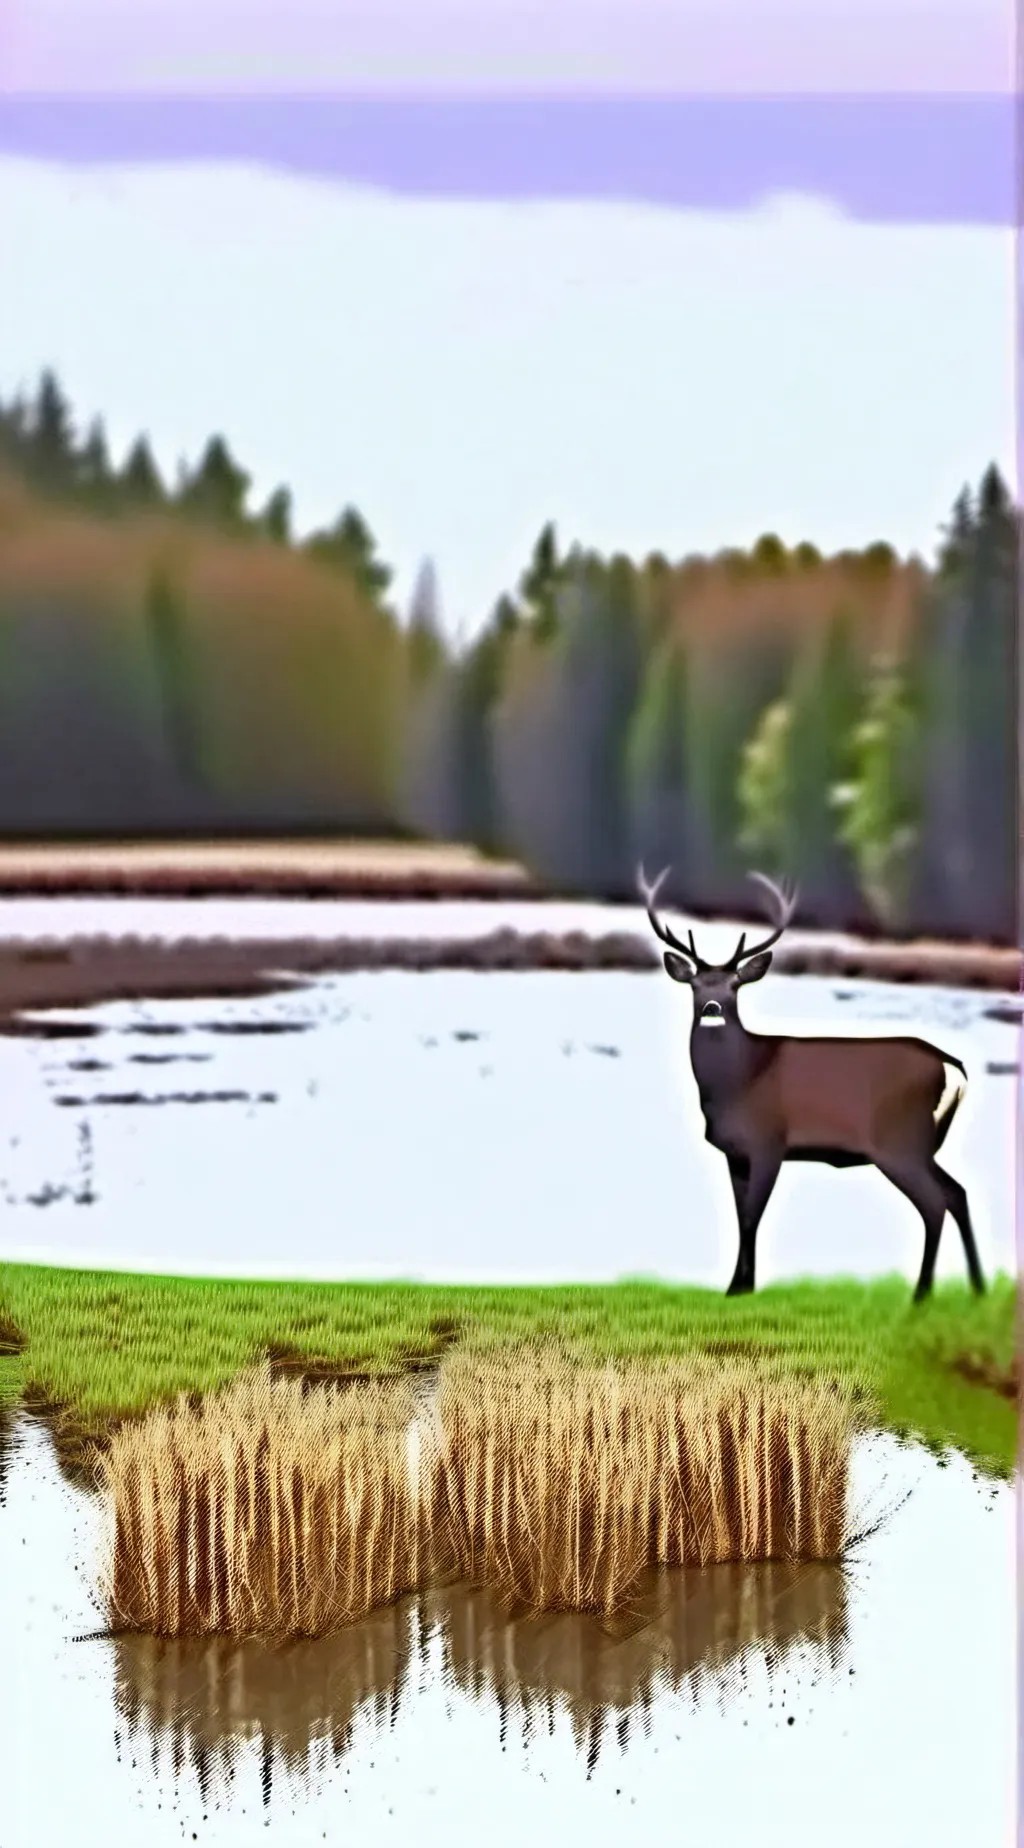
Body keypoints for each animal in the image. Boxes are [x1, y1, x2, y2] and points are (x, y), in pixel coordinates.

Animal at [637, 863, 986, 1303]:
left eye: (735, 985)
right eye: (695, 985)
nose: (713, 1009)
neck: (737, 1083)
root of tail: (952, 1066)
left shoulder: (769, 1141)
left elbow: (753, 1216)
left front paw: (739, 1288)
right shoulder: (735, 1153)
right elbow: (741, 1216)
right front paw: (741, 1287)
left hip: (899, 1140)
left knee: (934, 1204)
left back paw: (920, 1296)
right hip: (924, 1144)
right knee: (957, 1192)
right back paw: (977, 1288)